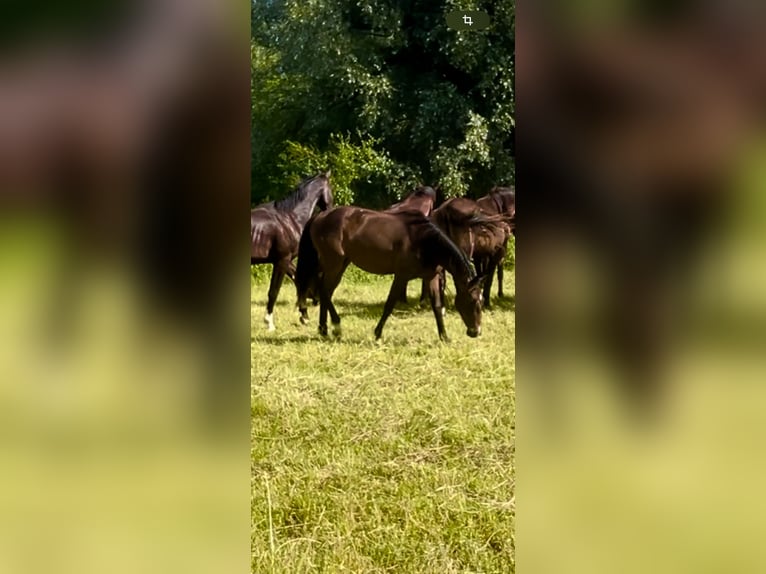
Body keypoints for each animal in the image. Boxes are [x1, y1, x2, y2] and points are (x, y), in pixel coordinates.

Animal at [252, 173, 332, 330]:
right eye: (331, 189)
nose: (331, 209)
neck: (289, 218)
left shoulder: (286, 261)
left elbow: (298, 281)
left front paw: (304, 316)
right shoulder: (282, 260)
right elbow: (274, 291)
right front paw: (270, 323)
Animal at [296, 207, 486, 342]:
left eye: (481, 300)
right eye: (473, 301)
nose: (476, 332)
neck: (423, 240)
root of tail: (320, 216)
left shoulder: (430, 277)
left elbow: (437, 307)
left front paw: (444, 337)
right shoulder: (401, 276)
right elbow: (389, 304)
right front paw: (377, 333)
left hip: (341, 264)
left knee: (325, 292)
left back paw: (324, 329)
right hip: (334, 263)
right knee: (324, 290)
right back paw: (336, 326)